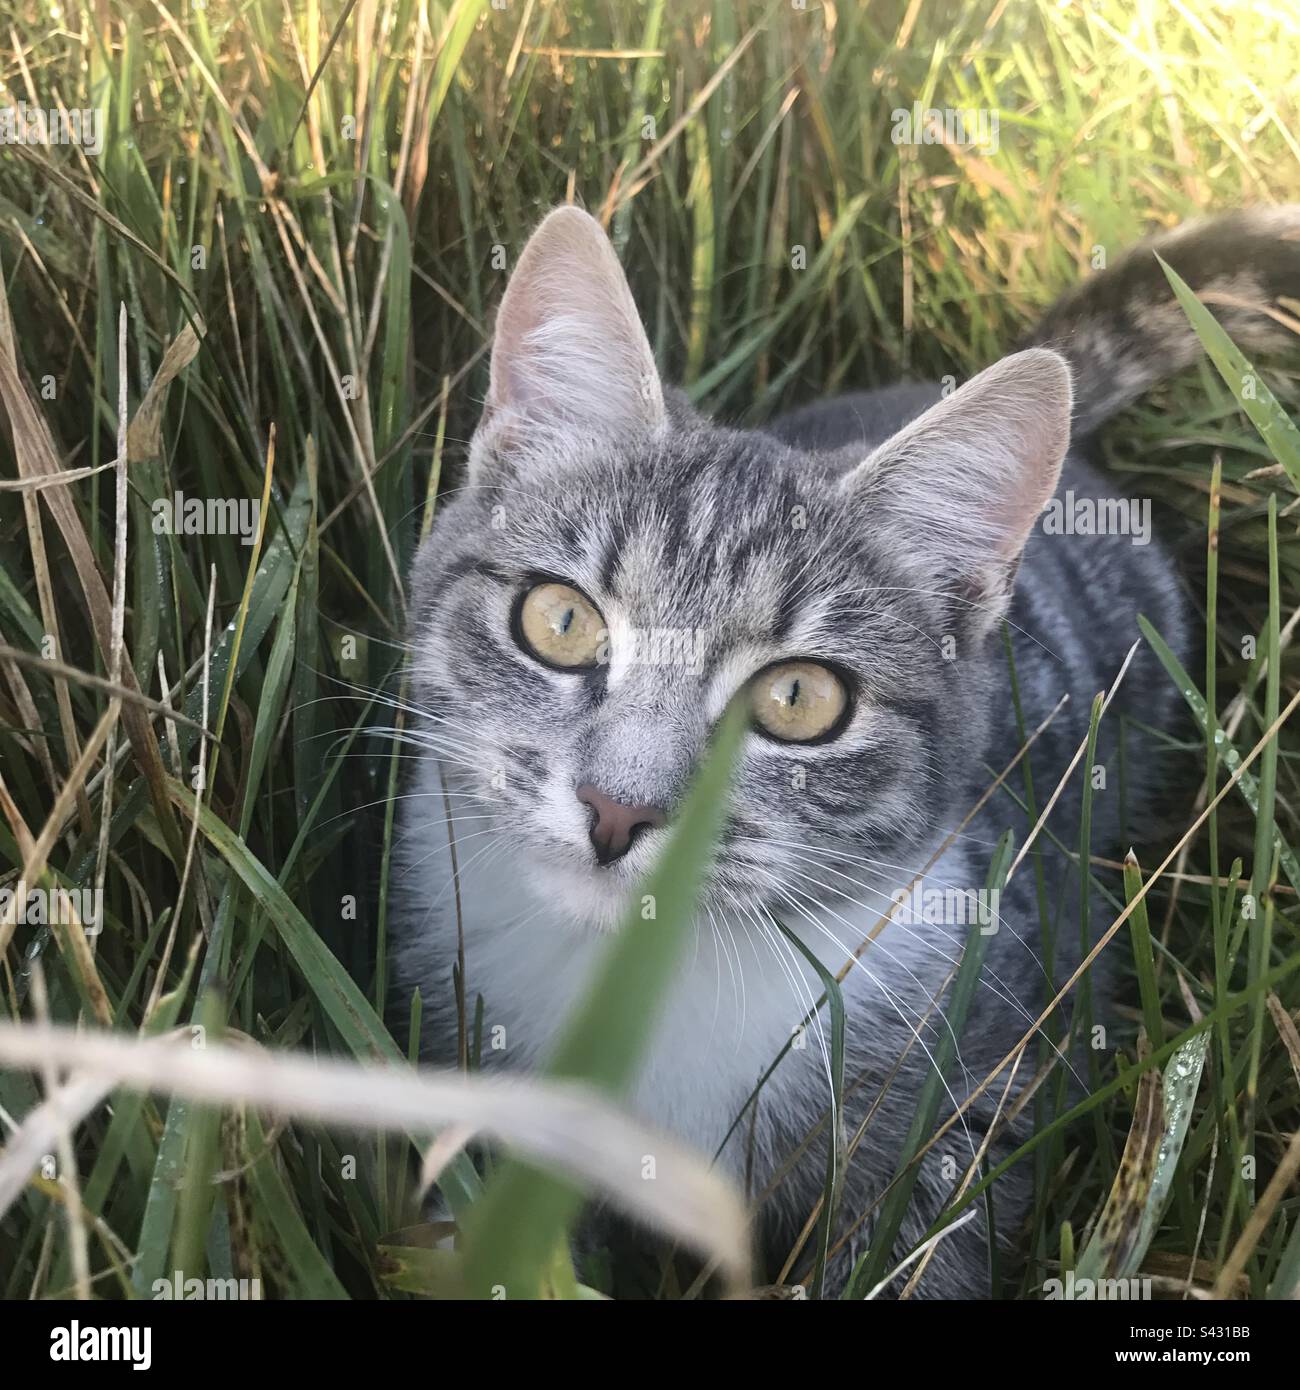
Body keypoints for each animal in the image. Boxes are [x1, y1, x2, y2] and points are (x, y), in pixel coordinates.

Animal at [394, 201, 1300, 1295]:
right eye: (561, 621)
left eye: (798, 698)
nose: (618, 808)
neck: (647, 970)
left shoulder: (978, 1082)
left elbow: (920, 1237)